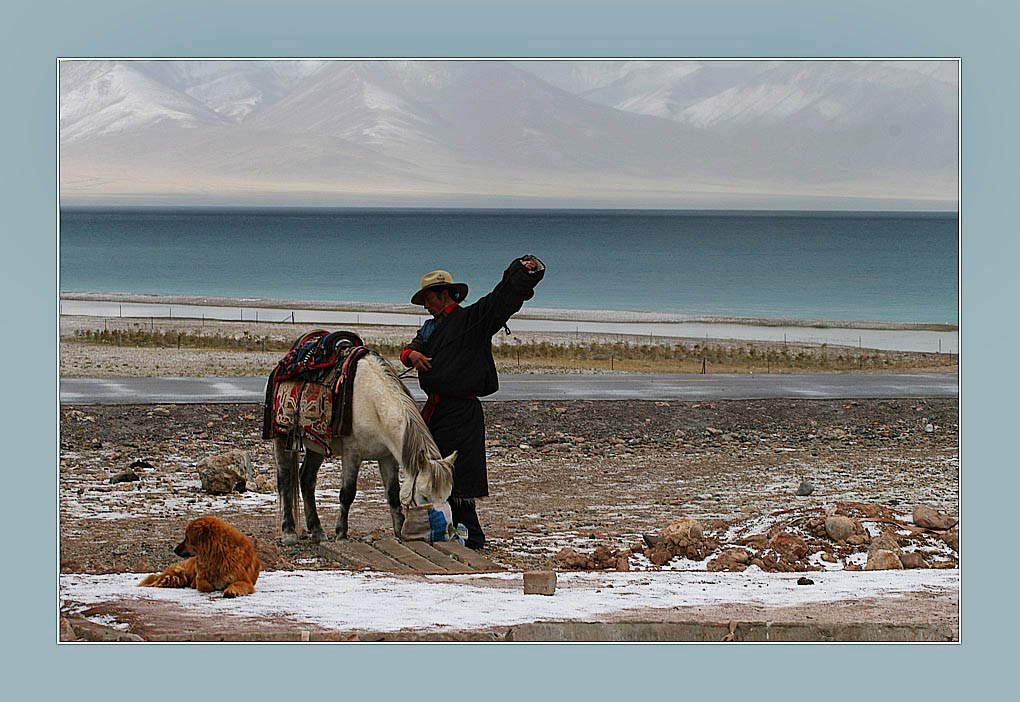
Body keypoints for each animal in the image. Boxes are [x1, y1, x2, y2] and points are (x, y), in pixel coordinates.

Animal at [275, 348, 459, 542]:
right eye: (424, 496)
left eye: (447, 494)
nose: (446, 532)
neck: (373, 403)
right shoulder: (352, 454)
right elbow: (347, 493)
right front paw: (341, 534)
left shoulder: (387, 457)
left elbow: (393, 494)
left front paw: (399, 531)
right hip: (282, 438)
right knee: (285, 480)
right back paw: (289, 532)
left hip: (317, 445)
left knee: (307, 479)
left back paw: (317, 530)